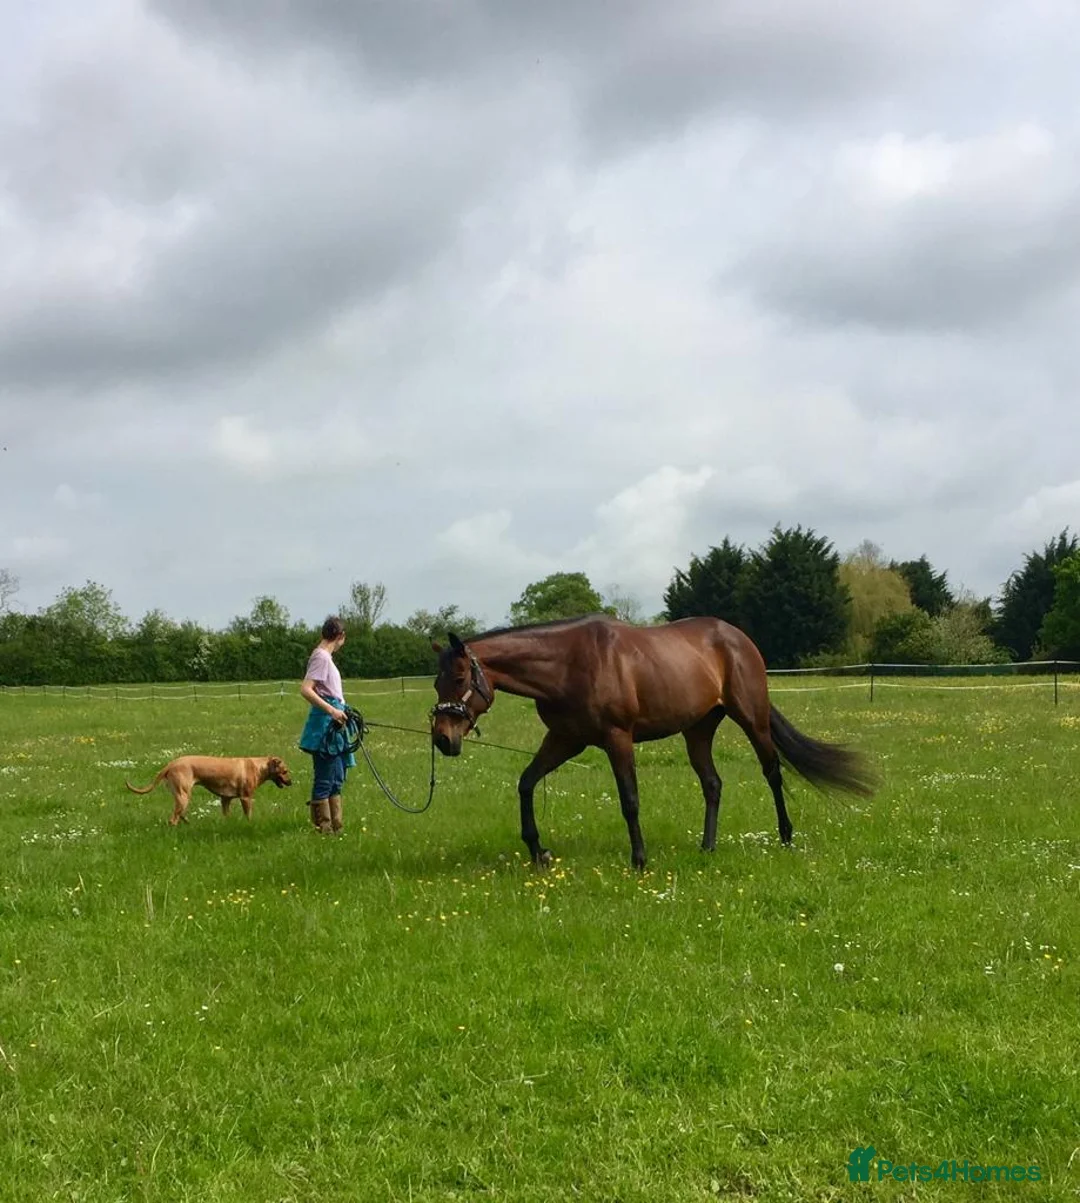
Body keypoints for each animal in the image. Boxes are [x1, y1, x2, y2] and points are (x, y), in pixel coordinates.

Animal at [431, 615, 876, 869]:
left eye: (459, 677)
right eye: (436, 683)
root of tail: (737, 638)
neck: (570, 663)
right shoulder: (566, 738)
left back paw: (785, 836)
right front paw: (538, 852)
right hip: (698, 730)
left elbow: (629, 799)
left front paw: (639, 860)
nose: (442, 739)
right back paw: (707, 848)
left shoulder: (617, 737)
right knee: (713, 784)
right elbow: (526, 782)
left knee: (772, 772)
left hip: (751, 718)